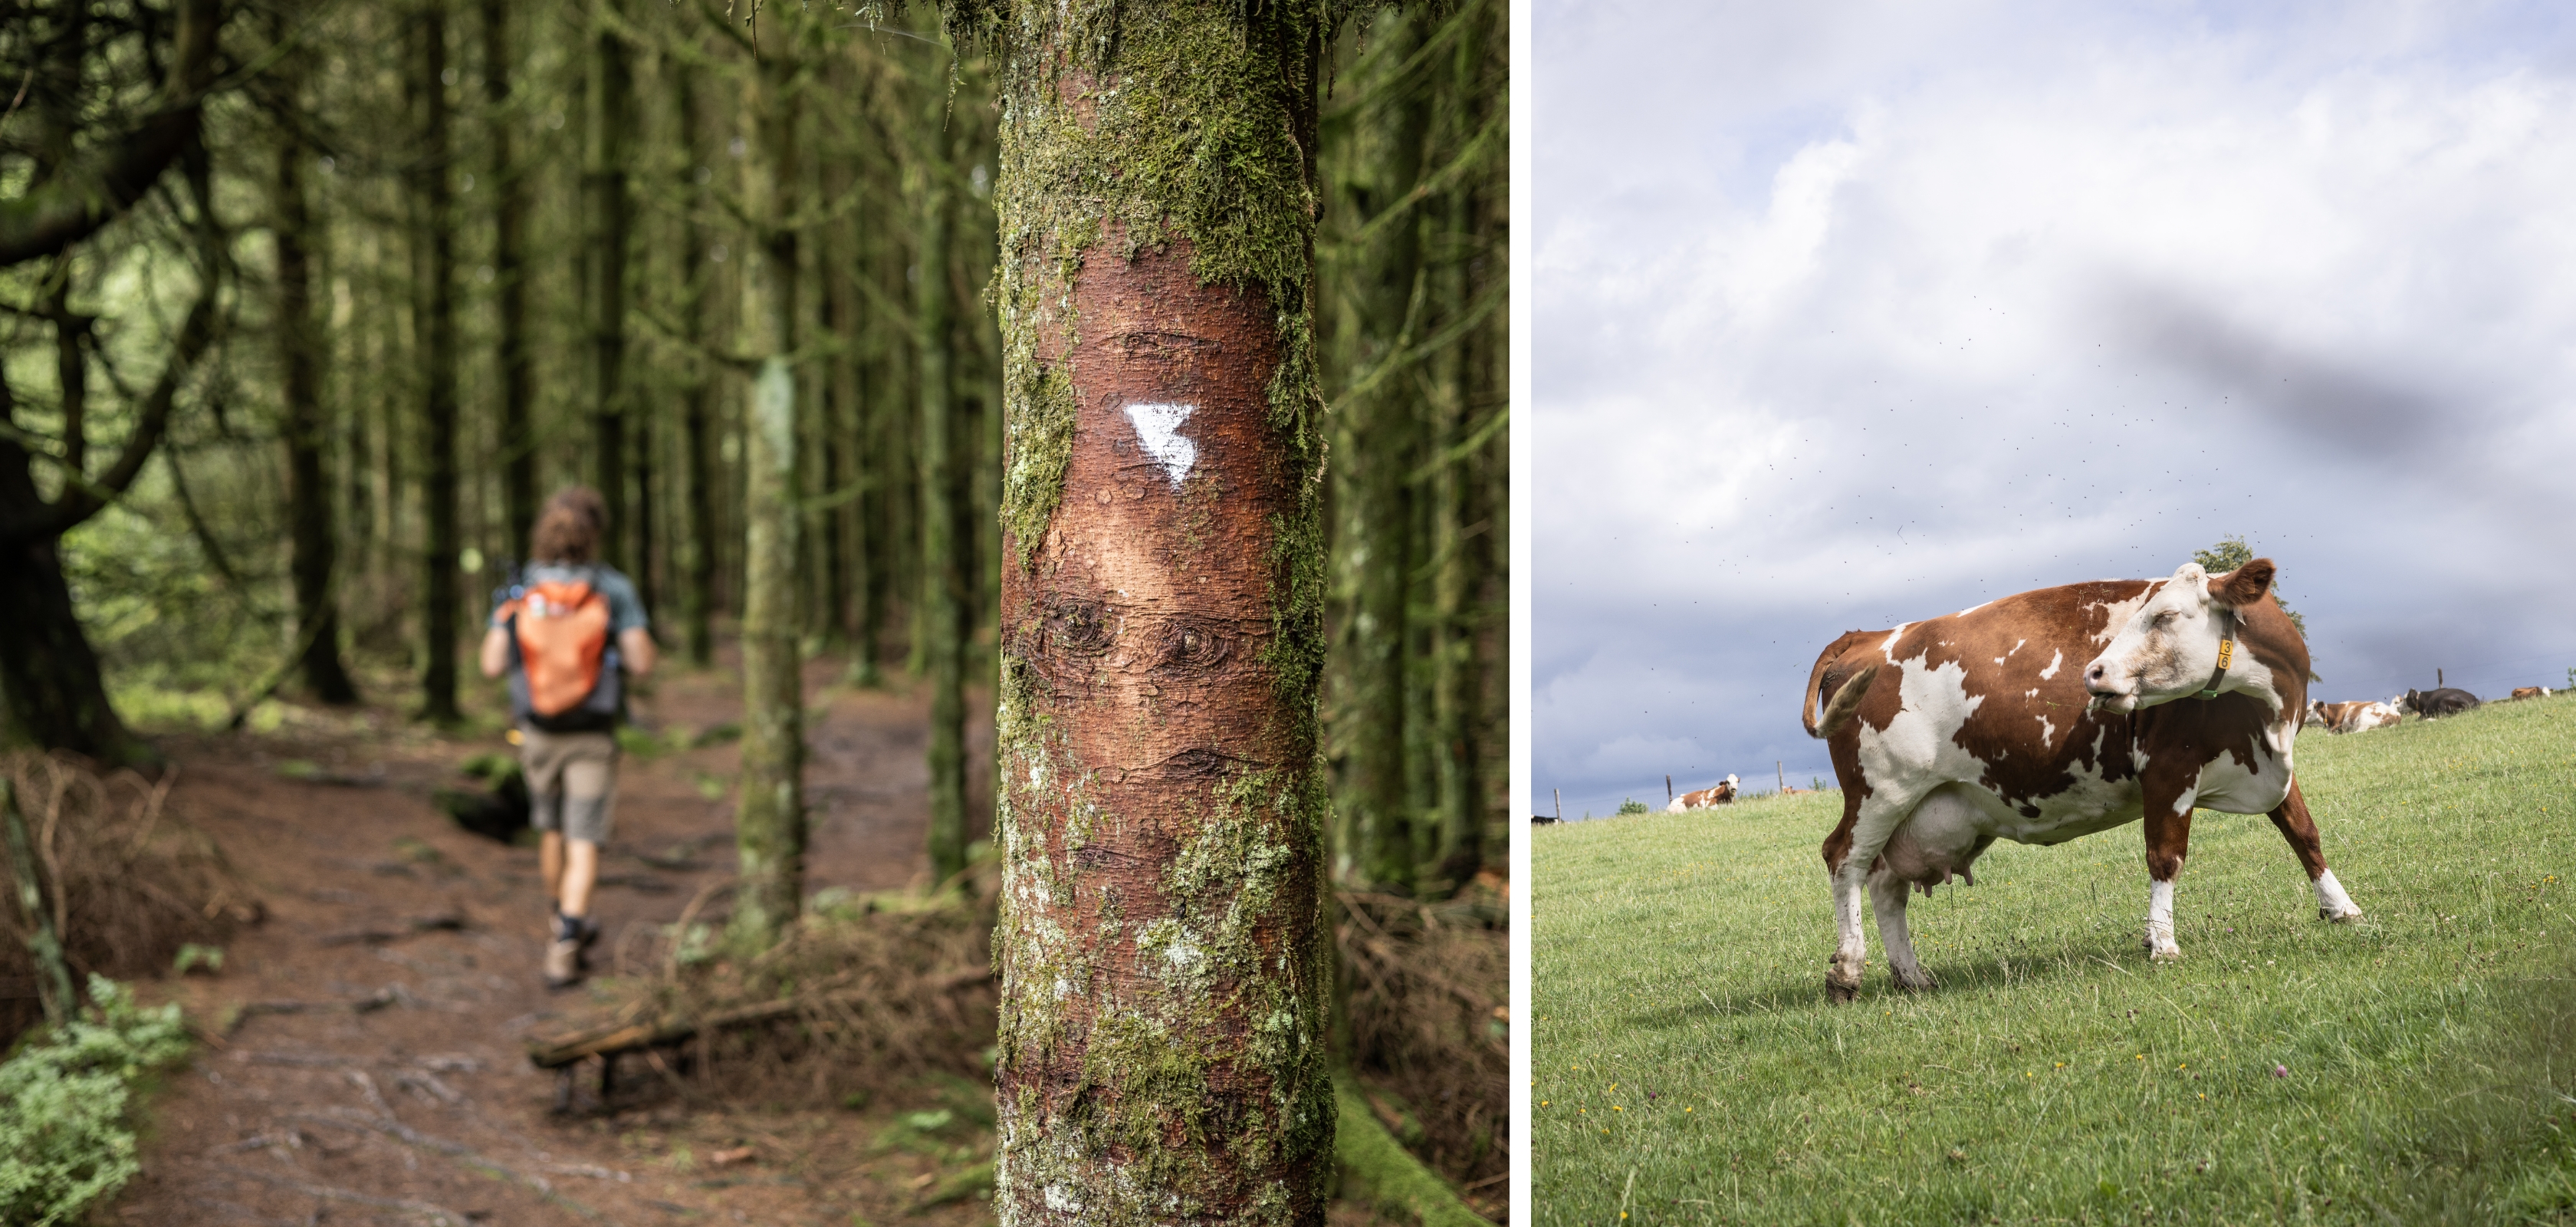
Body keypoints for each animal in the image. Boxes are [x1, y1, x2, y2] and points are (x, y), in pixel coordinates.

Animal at [1803, 561, 2359, 1000]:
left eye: (2165, 616)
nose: (2094, 672)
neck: (2269, 717)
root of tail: (1867, 637)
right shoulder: (2168, 767)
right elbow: (2166, 857)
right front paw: (2162, 943)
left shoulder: (2271, 767)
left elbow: (2304, 833)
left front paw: (2342, 908)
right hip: (1881, 793)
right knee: (1843, 860)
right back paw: (1848, 971)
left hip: (1920, 811)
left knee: (1885, 884)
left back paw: (1911, 976)